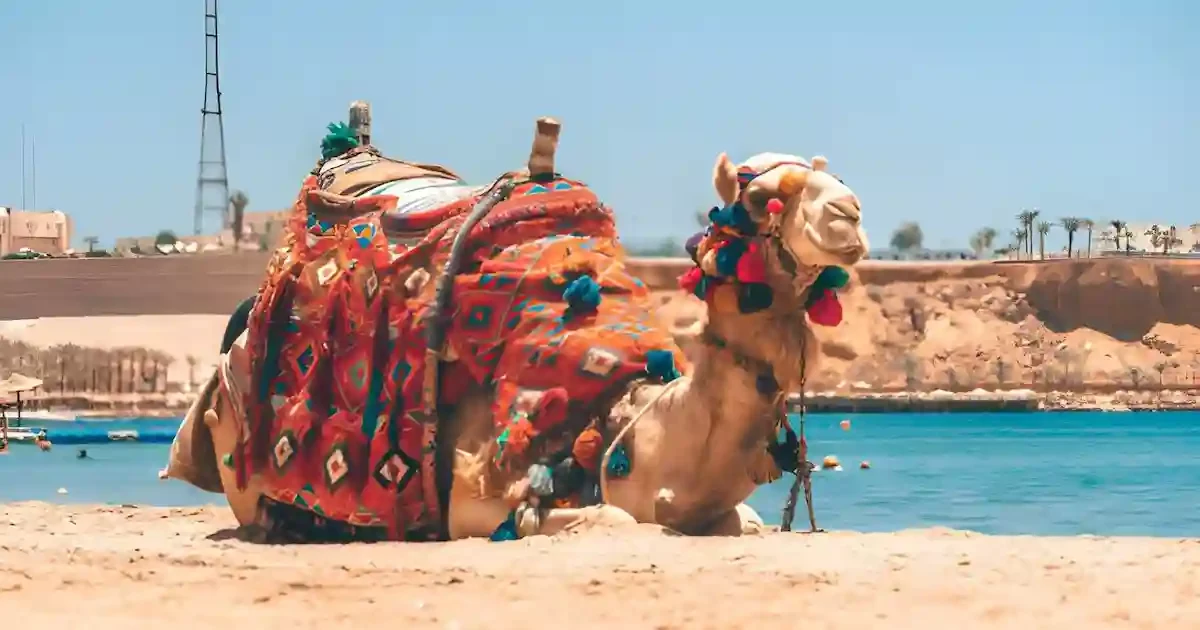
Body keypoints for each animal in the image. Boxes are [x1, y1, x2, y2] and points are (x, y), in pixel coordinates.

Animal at [164, 112, 868, 541]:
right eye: (761, 197)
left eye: (834, 176)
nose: (850, 213)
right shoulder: (475, 497)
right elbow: (610, 521)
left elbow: (745, 522)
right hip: (238, 460)